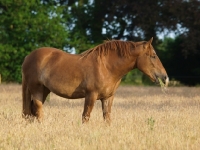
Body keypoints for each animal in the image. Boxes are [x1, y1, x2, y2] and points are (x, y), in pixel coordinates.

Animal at [21, 37, 169, 123]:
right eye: (153, 56)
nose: (165, 77)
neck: (106, 66)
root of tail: (28, 57)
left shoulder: (108, 98)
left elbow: (107, 118)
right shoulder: (91, 96)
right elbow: (85, 117)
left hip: (45, 90)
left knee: (33, 110)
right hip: (36, 89)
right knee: (38, 110)